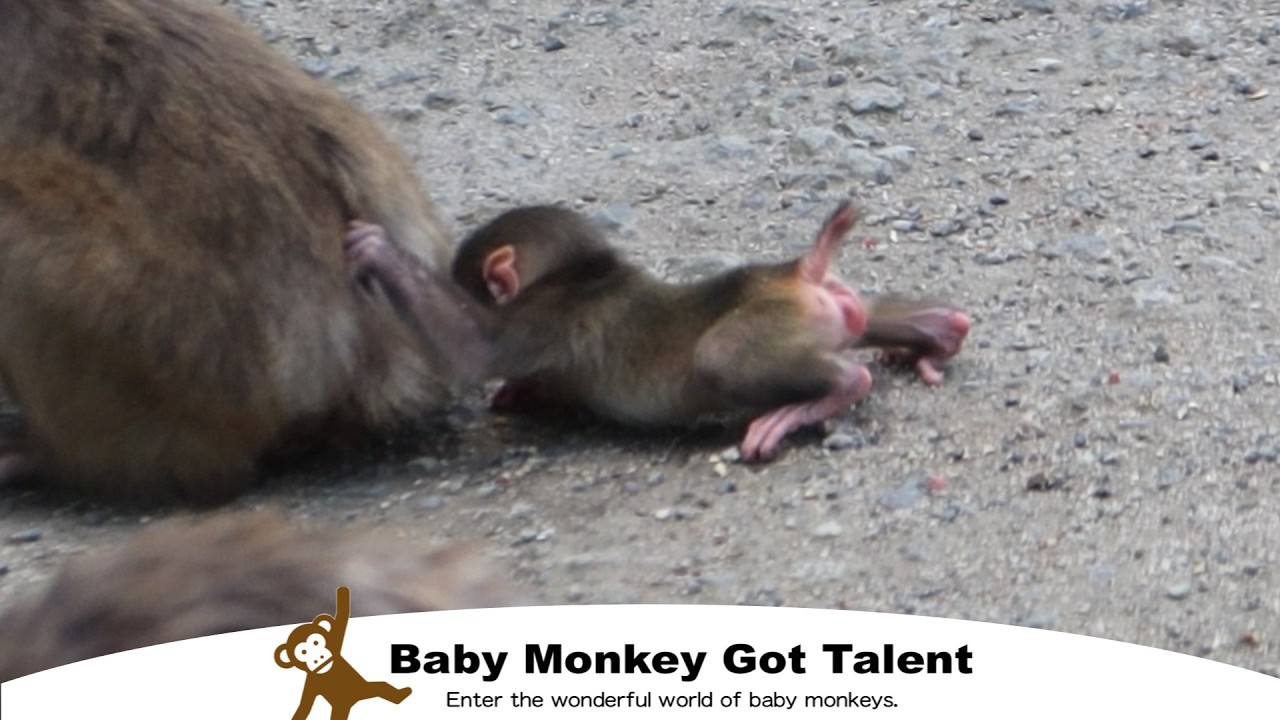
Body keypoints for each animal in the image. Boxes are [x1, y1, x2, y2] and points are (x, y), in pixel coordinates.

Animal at [276, 586, 412, 720]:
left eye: (316, 642)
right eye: (303, 652)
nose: (318, 656)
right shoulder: (311, 683)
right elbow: (305, 705)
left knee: (381, 686)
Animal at [350, 202, 880, 461]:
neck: (584, 274)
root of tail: (799, 275)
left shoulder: (547, 316)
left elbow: (474, 347)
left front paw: (380, 250)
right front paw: (524, 390)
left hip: (772, 321)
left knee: (722, 354)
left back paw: (818, 399)